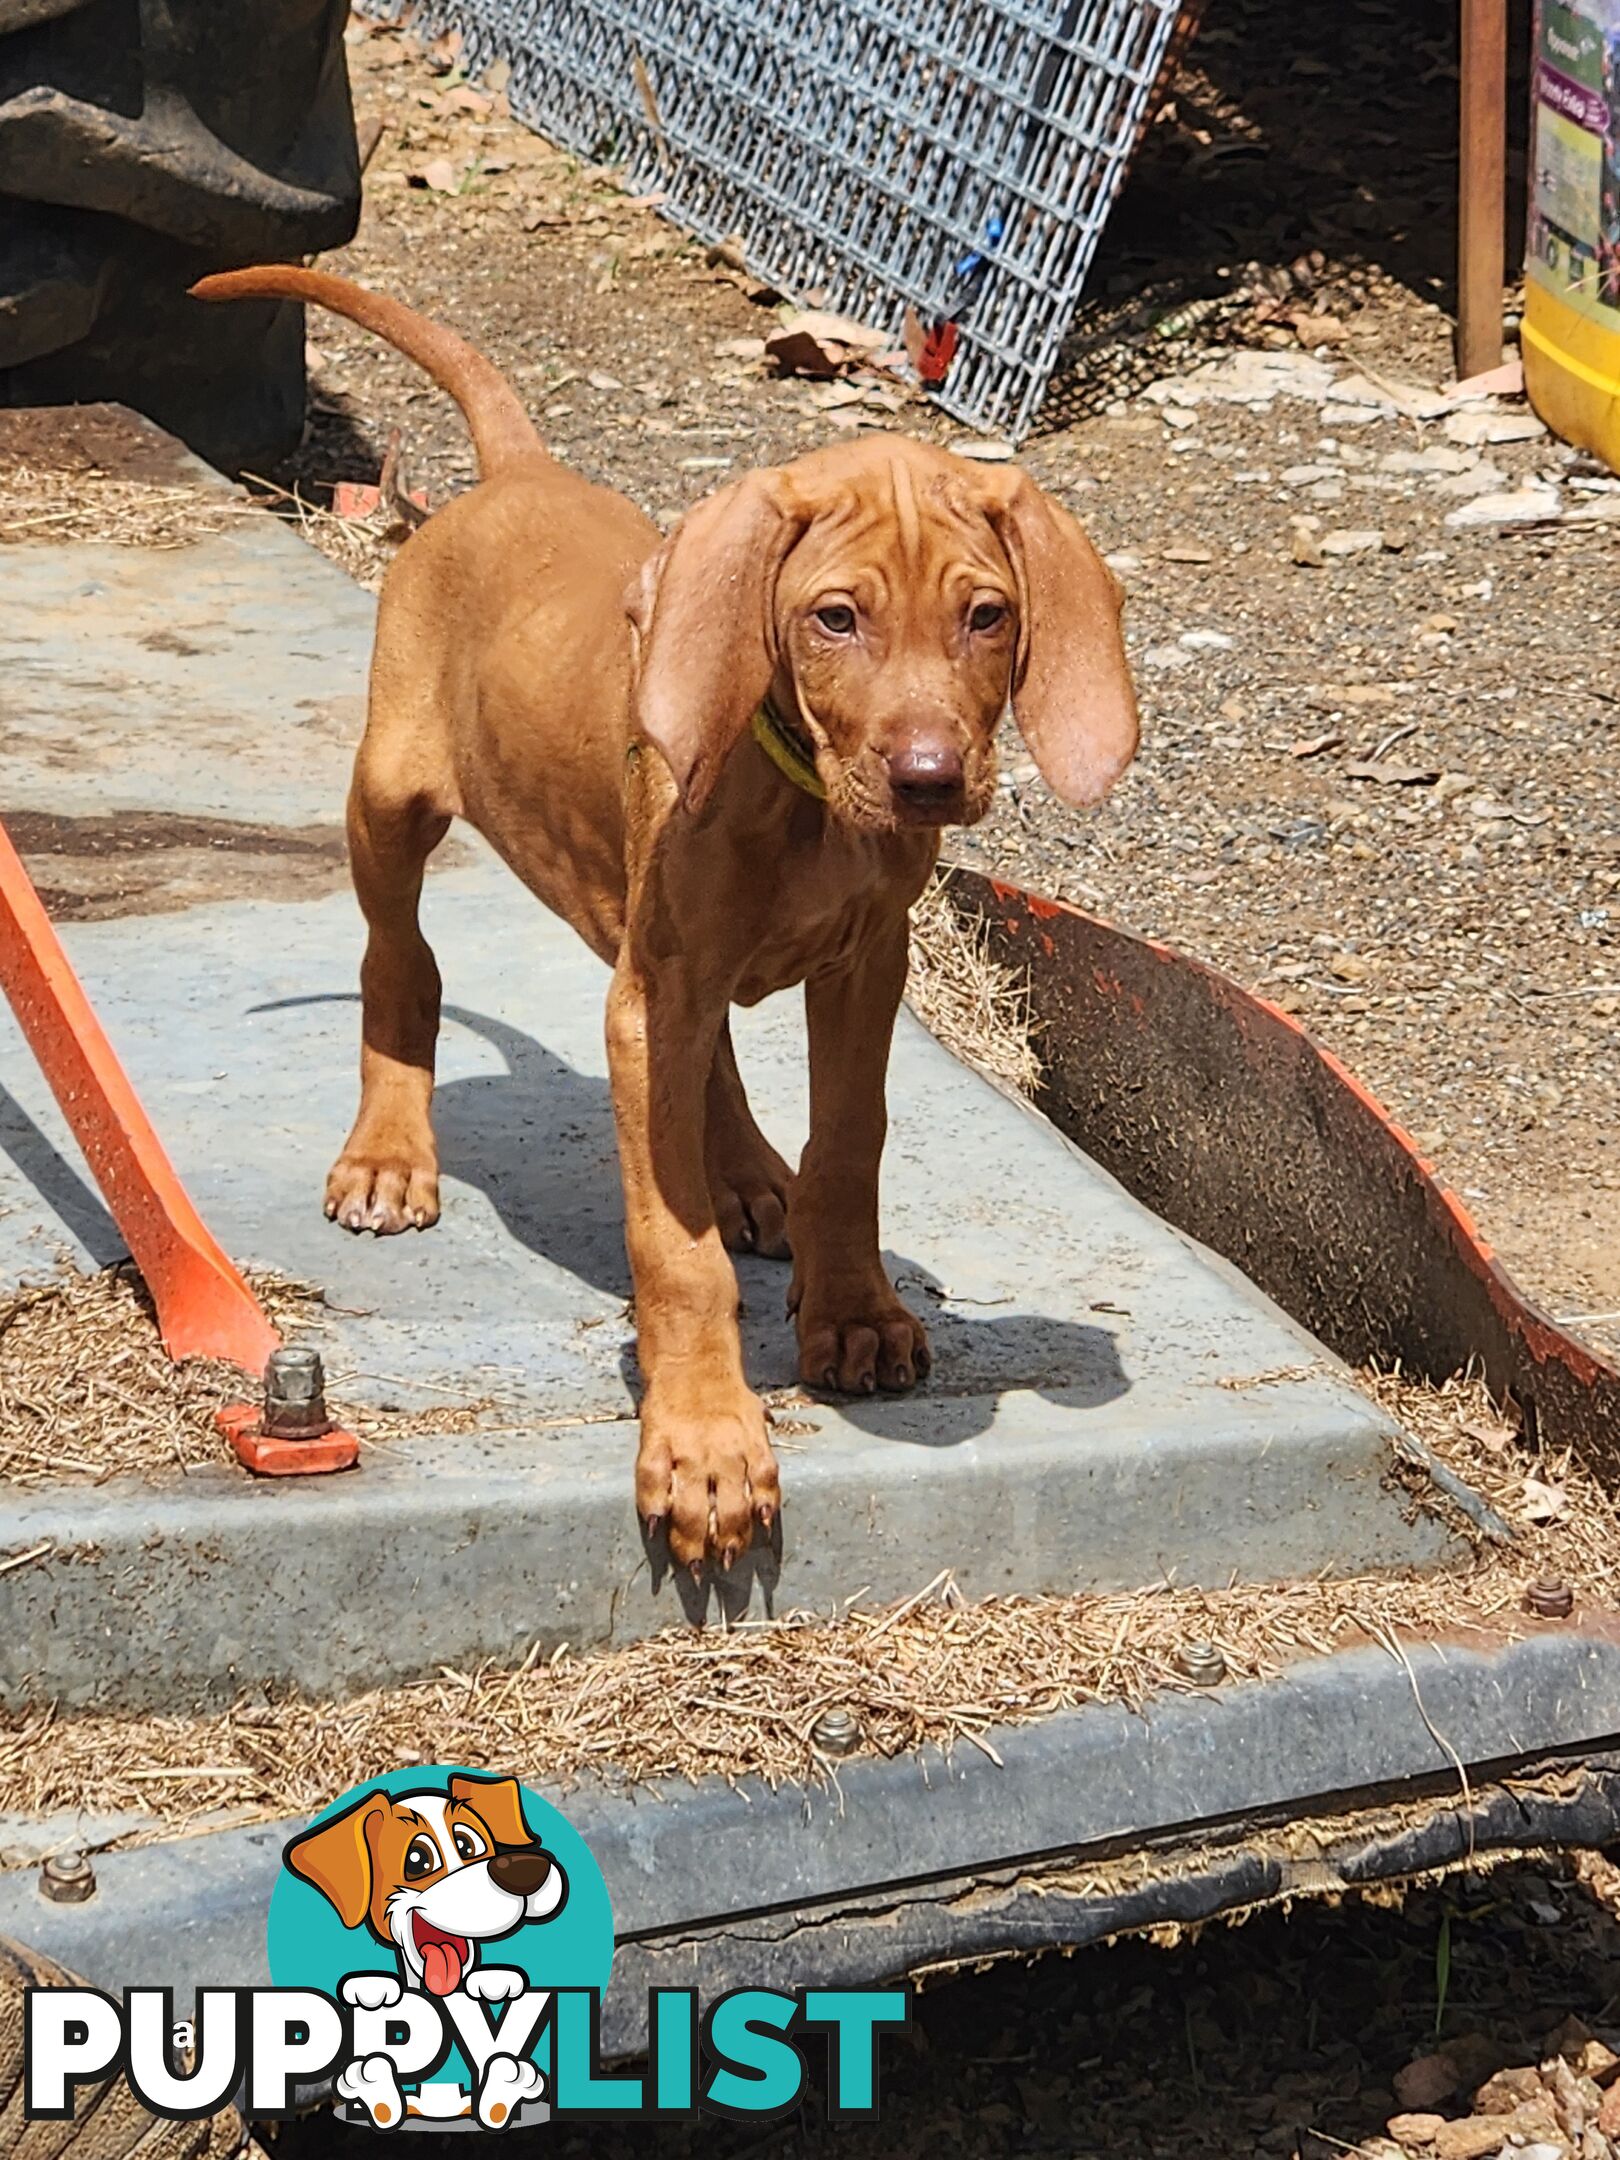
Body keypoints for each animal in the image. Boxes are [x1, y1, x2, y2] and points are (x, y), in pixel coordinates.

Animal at [193, 265, 1140, 1572]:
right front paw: (703, 1441)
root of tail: (517, 473)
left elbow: (850, 1145)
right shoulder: (655, 995)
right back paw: (390, 1154)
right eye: (835, 618)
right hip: (392, 800)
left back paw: (747, 1174)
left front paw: (850, 1308)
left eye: (987, 616)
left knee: (709, 1054)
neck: (801, 797)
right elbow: (673, 1247)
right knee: (403, 965)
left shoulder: (863, 966)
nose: (929, 778)